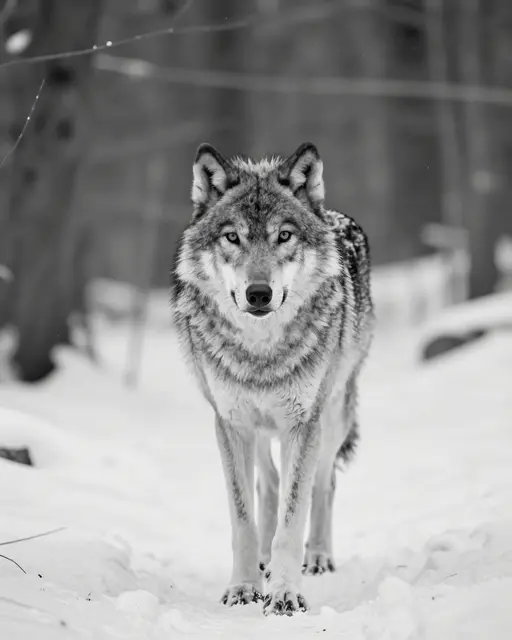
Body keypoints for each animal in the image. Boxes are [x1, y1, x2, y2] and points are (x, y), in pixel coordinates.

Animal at [171, 142, 374, 616]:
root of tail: (333, 212)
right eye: (233, 237)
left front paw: (284, 593)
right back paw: (264, 561)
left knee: (324, 483)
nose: (259, 293)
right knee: (269, 481)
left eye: (284, 236)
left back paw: (317, 558)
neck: (261, 353)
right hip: (261, 430)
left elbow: (293, 517)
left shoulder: (303, 423)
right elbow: (243, 517)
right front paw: (244, 587)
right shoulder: (230, 424)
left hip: (332, 416)